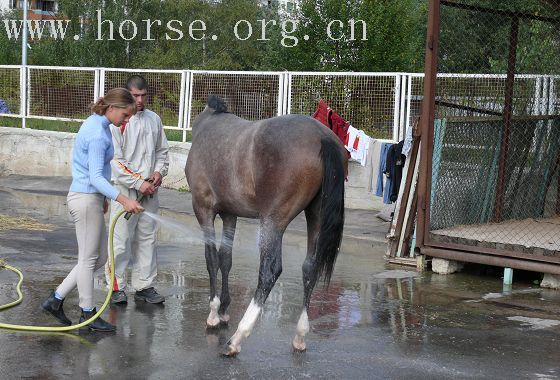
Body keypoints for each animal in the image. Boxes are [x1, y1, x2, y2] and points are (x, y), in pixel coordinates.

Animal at [186, 95, 348, 356]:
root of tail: (322, 137)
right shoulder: (230, 215)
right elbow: (225, 258)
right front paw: (224, 310)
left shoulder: (203, 210)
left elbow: (211, 259)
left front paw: (213, 314)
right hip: (315, 216)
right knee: (310, 268)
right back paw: (300, 335)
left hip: (272, 221)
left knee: (269, 271)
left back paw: (237, 338)